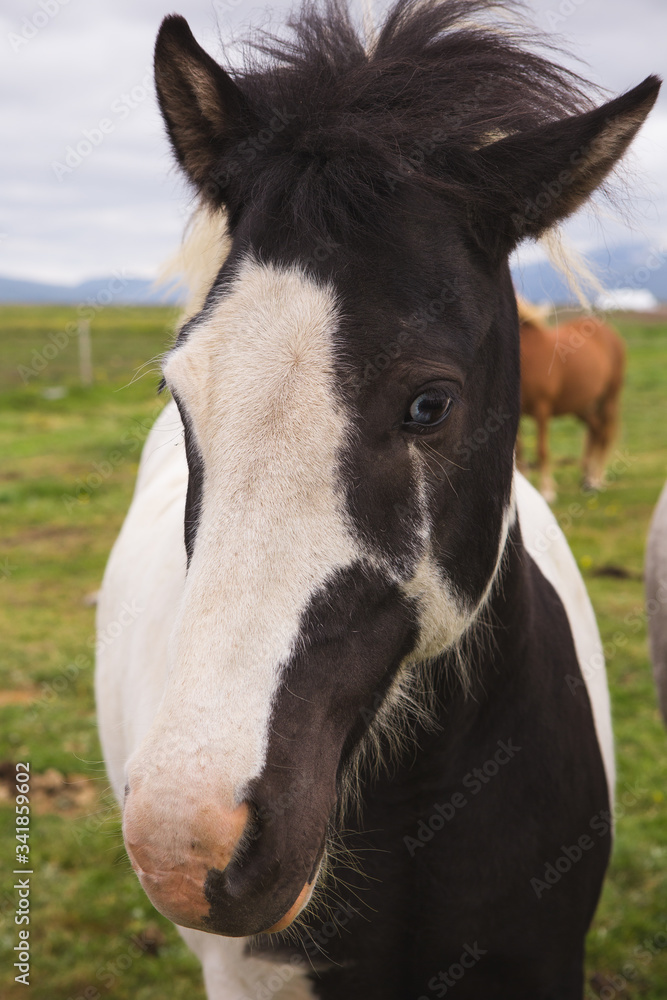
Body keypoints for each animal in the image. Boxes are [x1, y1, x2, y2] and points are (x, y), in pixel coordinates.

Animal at [517, 298, 626, 502]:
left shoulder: (542, 408)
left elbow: (541, 450)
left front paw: (547, 491)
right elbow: (519, 452)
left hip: (609, 399)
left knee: (604, 435)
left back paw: (595, 480)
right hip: (582, 406)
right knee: (595, 430)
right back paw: (587, 479)